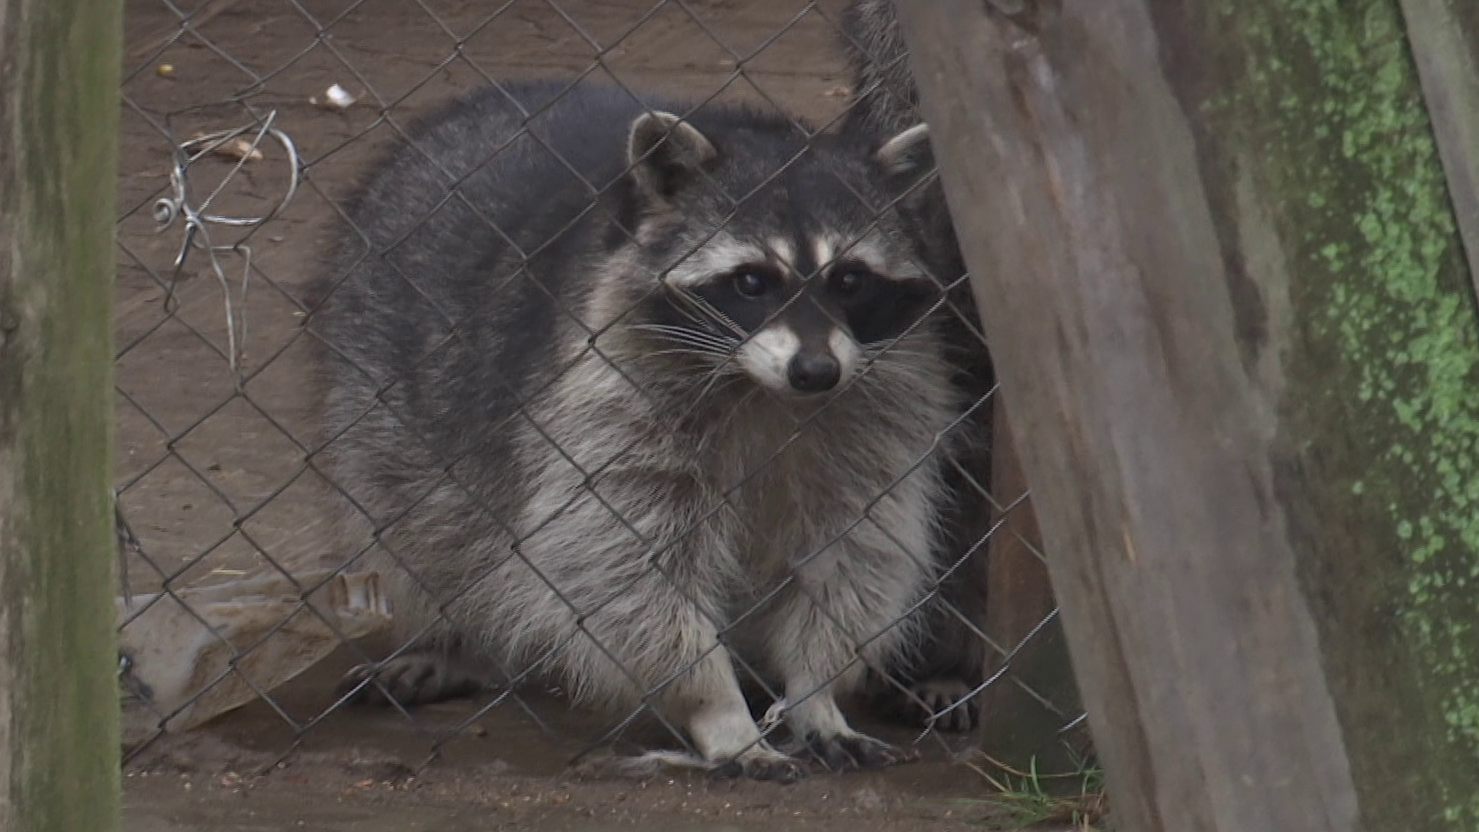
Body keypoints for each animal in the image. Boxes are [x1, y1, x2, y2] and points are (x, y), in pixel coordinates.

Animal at [310, 78, 958, 780]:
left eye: (850, 280)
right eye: (752, 281)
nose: (815, 371)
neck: (763, 392)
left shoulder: (876, 410)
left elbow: (857, 548)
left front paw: (815, 690)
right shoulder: (604, 391)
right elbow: (620, 560)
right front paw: (717, 706)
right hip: (382, 382)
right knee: (432, 522)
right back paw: (459, 640)